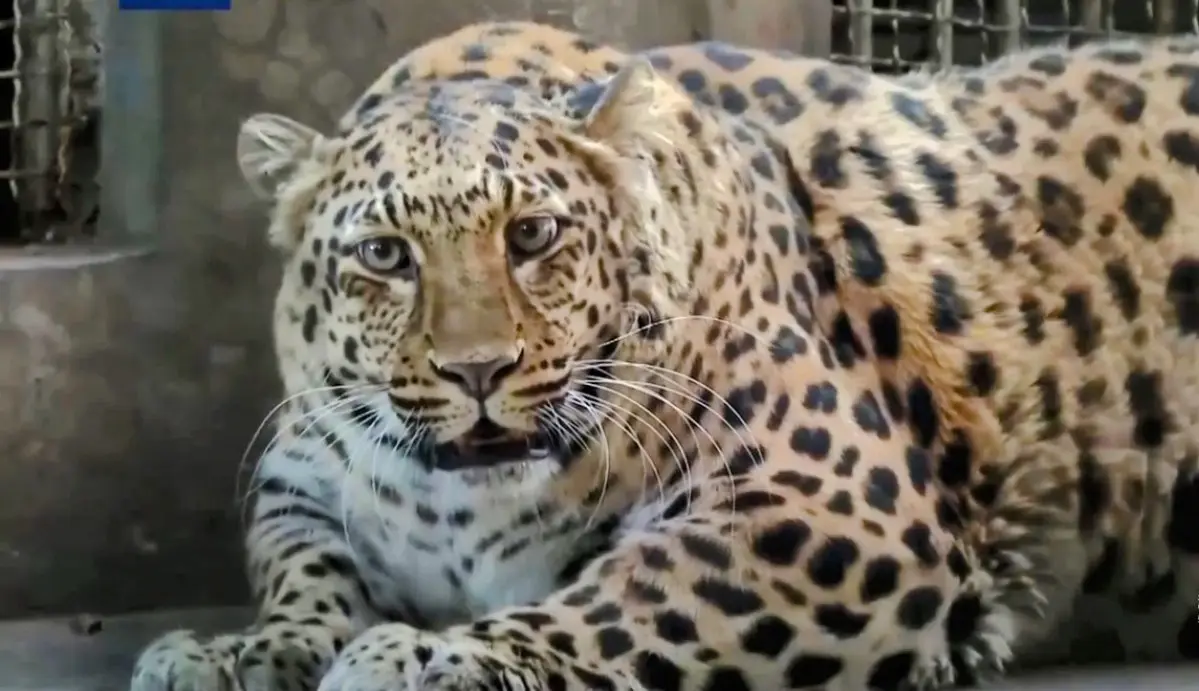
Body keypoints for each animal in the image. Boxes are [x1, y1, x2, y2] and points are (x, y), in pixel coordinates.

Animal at [130, 20, 1199, 691]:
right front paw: (240, 652)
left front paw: (426, 658)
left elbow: (629, 597)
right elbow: (305, 568)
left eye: (532, 235)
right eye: (385, 255)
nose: (477, 372)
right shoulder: (301, 472)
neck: (458, 509)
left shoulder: (829, 506)